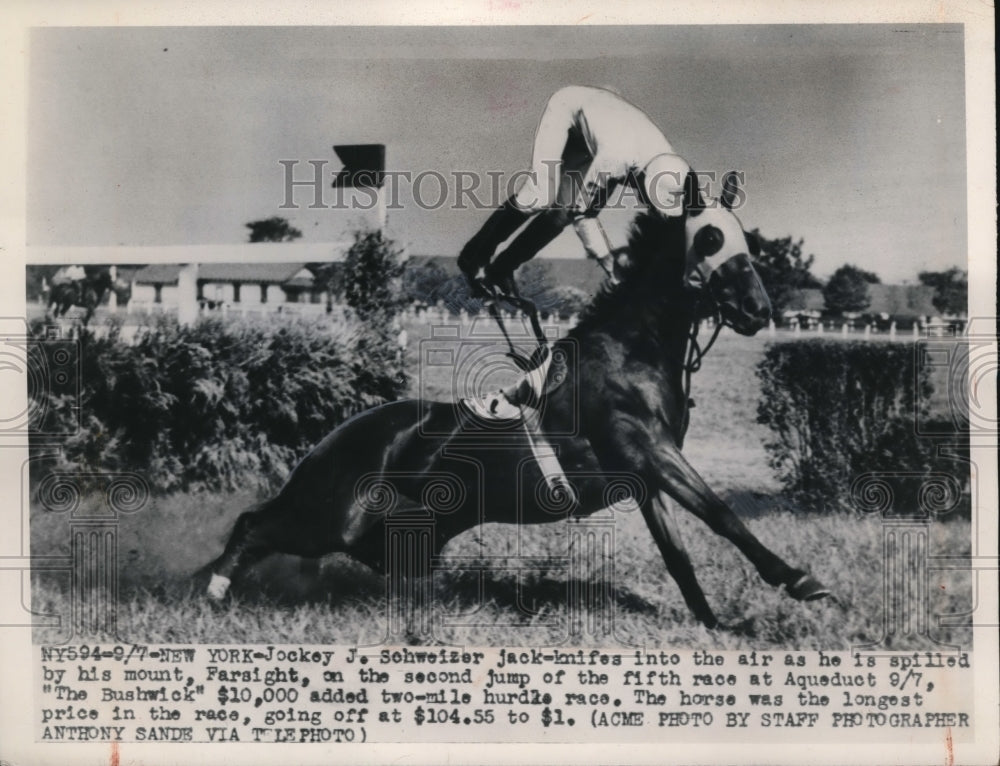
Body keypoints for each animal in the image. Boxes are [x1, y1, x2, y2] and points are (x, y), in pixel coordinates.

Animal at [201, 174, 828, 632]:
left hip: (385, 534)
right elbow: (722, 514)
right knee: (253, 524)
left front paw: (716, 623)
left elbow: (679, 554)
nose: (758, 309)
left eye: (744, 236)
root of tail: (330, 441)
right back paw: (212, 590)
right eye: (710, 238)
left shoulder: (647, 477)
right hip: (330, 515)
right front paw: (799, 580)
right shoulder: (647, 449)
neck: (632, 351)